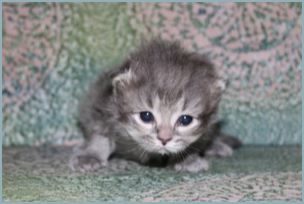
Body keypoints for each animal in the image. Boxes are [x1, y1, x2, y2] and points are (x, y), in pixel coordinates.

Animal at [70, 39, 241, 172]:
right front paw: (90, 155)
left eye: (185, 120)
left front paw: (188, 158)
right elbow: (100, 135)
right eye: (146, 116)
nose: (164, 139)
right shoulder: (100, 104)